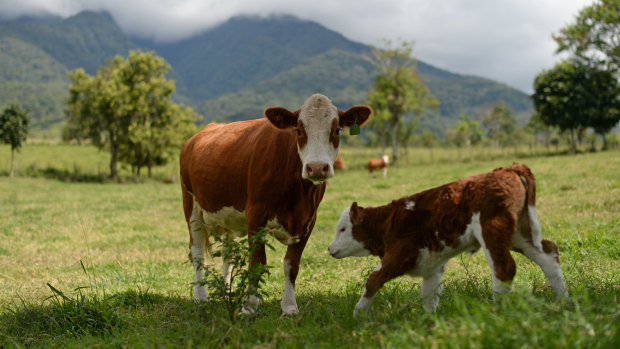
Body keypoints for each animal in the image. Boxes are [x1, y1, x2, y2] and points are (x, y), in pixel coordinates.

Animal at [182, 92, 370, 312]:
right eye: (299, 130)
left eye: (336, 130)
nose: (316, 168)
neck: (298, 197)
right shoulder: (255, 215)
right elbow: (257, 263)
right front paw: (249, 306)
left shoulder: (309, 220)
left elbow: (291, 264)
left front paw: (289, 306)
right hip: (191, 206)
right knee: (197, 251)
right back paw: (200, 296)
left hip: (228, 218)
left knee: (228, 252)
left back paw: (226, 291)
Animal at [330, 164, 568, 314]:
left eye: (342, 229)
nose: (330, 249)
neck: (390, 221)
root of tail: (507, 169)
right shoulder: (431, 264)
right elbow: (429, 293)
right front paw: (429, 320)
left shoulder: (398, 256)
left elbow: (373, 280)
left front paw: (359, 314)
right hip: (520, 233)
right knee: (549, 254)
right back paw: (563, 300)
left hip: (493, 230)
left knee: (504, 268)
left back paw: (497, 310)